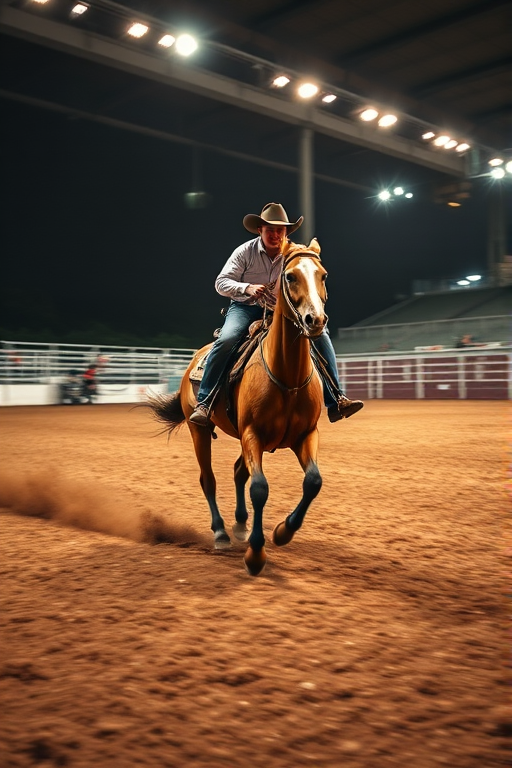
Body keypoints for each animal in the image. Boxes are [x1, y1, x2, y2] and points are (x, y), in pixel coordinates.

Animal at [147, 237, 328, 575]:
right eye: (290, 276)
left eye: (323, 275)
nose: (316, 320)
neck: (287, 376)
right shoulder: (252, 434)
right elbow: (259, 488)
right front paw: (256, 555)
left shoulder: (305, 435)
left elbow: (313, 481)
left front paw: (282, 532)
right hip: (200, 430)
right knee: (209, 479)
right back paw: (220, 532)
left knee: (236, 472)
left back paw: (241, 525)